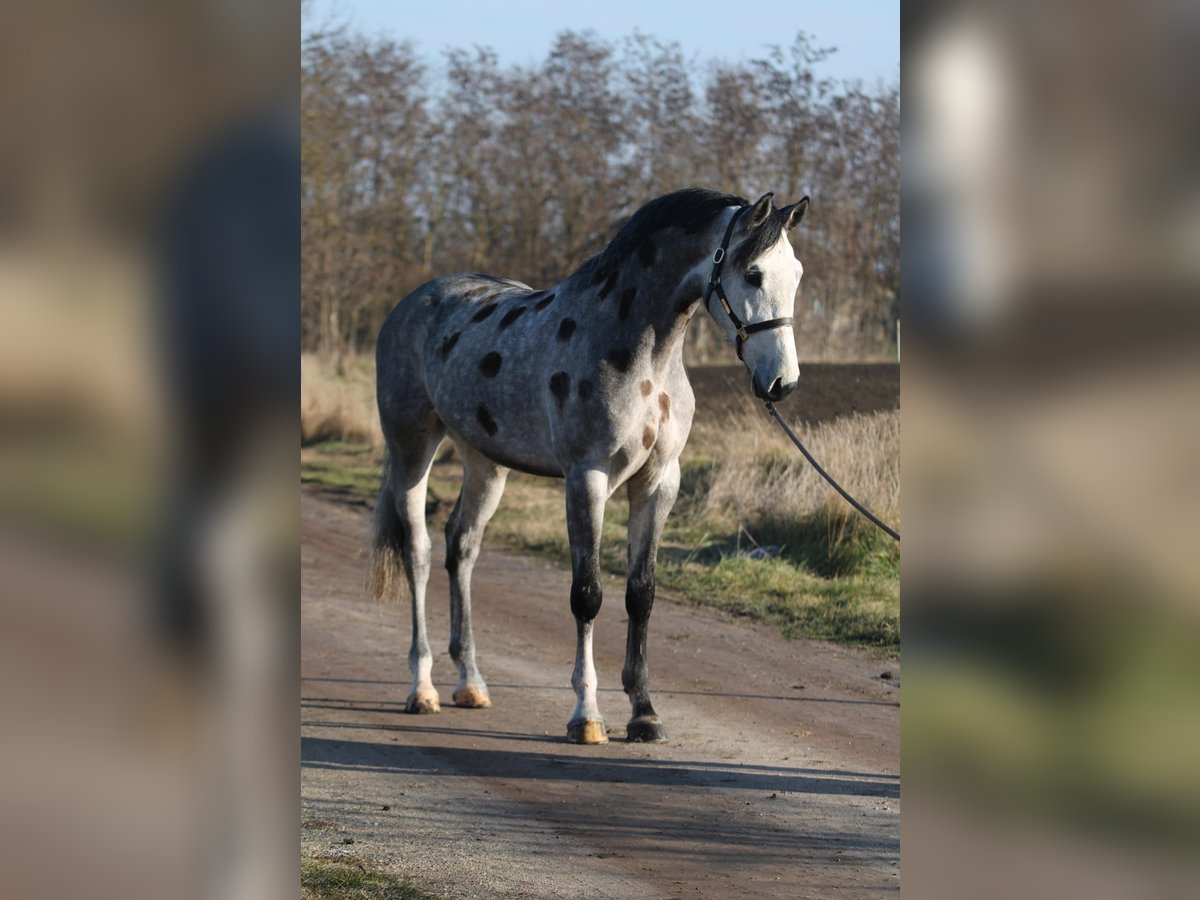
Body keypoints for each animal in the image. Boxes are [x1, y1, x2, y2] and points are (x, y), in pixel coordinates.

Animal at [369, 188, 811, 748]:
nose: (783, 383)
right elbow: (588, 595)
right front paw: (587, 716)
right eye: (752, 274)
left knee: (461, 547)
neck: (639, 355)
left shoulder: (659, 483)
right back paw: (422, 688)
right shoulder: (587, 479)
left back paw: (470, 683)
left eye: (796, 274)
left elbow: (641, 593)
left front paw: (644, 713)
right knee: (419, 552)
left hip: (484, 462)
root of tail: (412, 303)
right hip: (412, 447)